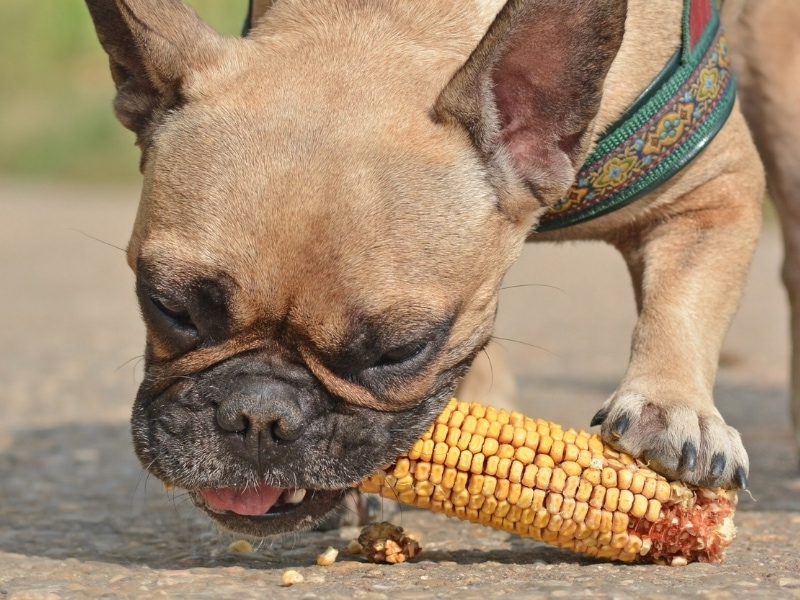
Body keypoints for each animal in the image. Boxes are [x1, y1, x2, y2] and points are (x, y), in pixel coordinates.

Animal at [84, 0, 792, 536]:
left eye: (399, 351)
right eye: (169, 307)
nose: (258, 415)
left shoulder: (712, 190)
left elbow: (681, 306)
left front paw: (672, 410)